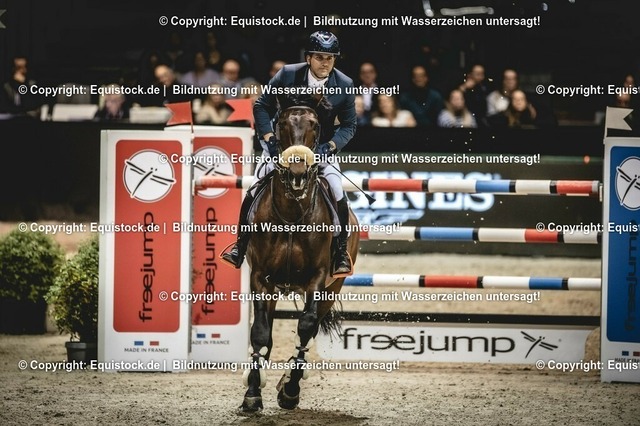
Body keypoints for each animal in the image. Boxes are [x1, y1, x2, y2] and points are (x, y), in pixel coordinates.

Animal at [239, 100, 359, 412]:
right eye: (281, 124)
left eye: (315, 125)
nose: (297, 172)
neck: (293, 214)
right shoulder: (261, 279)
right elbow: (260, 332)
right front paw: (252, 393)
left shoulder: (317, 280)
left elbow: (305, 327)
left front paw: (290, 390)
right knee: (267, 334)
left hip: (332, 287)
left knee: (312, 325)